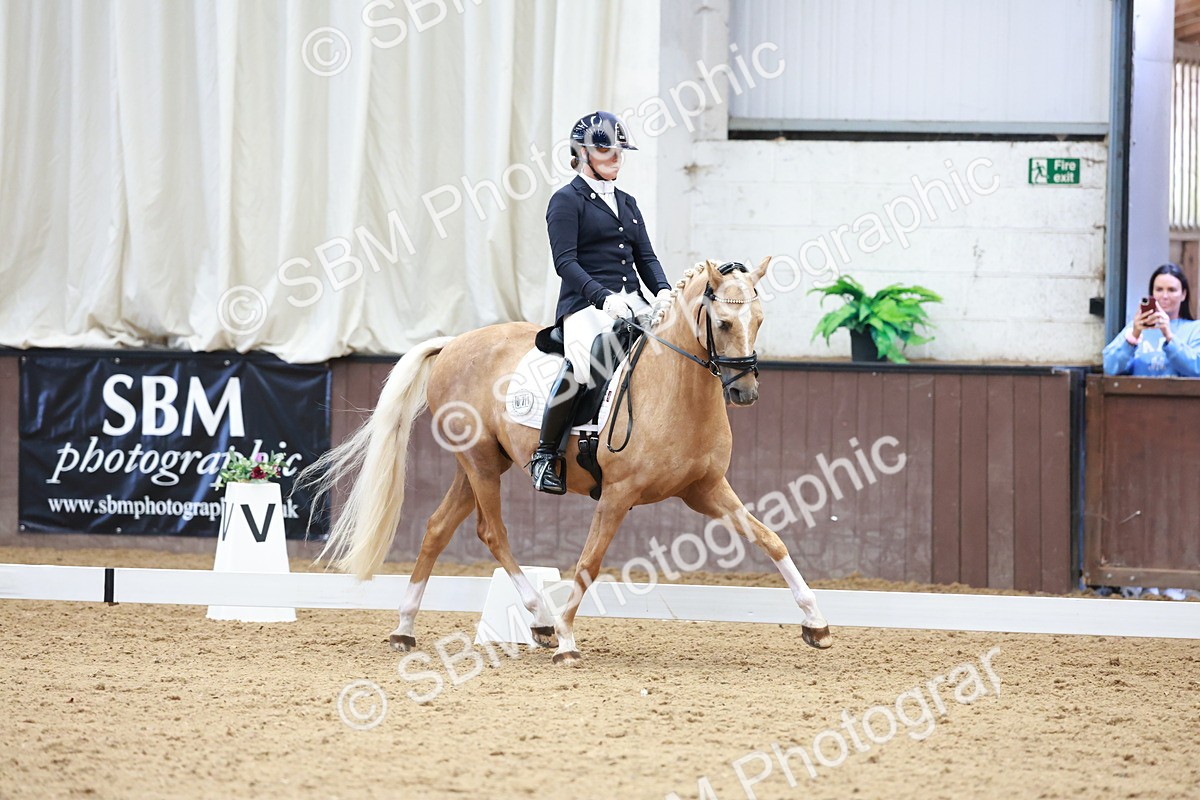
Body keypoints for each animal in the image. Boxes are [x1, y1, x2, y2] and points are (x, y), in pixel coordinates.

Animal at [300, 257, 831, 665]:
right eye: (722, 323)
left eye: (758, 321)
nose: (745, 393)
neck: (676, 388)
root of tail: (452, 342)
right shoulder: (618, 494)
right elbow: (588, 563)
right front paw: (569, 641)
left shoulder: (706, 490)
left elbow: (771, 539)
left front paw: (816, 622)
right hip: (480, 463)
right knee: (492, 532)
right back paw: (540, 620)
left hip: (479, 464)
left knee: (436, 528)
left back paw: (406, 628)